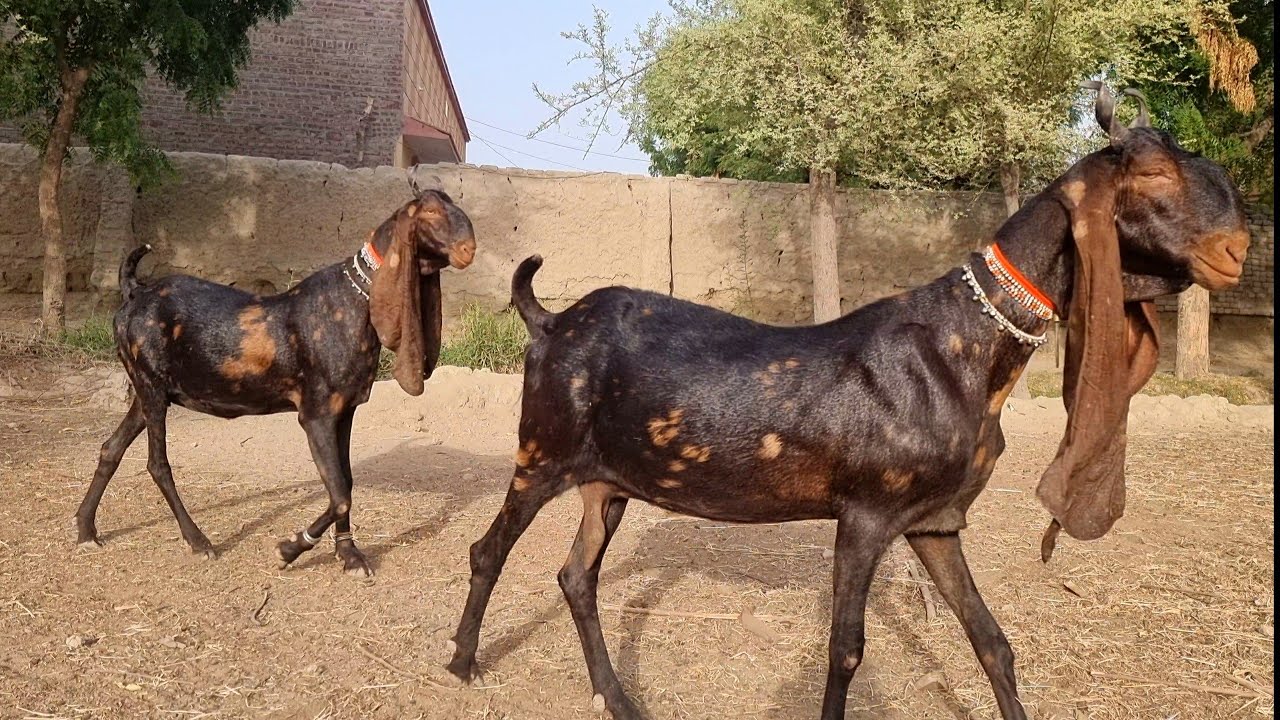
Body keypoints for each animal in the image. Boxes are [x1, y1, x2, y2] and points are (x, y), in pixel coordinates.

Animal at [75, 190, 477, 578]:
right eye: (429, 211)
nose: (468, 248)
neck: (354, 302)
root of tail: (135, 291)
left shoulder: (345, 410)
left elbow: (345, 482)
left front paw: (348, 555)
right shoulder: (315, 414)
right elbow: (340, 494)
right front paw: (290, 549)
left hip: (149, 392)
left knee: (110, 448)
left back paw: (85, 529)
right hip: (152, 387)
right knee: (157, 464)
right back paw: (198, 541)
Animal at [444, 84, 1250, 718]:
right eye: (1152, 170)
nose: (1237, 250)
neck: (965, 348)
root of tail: (548, 321)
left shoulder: (934, 521)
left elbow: (991, 640)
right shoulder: (865, 513)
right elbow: (846, 651)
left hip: (606, 482)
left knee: (576, 575)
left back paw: (617, 697)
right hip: (541, 451)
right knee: (489, 549)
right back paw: (461, 662)